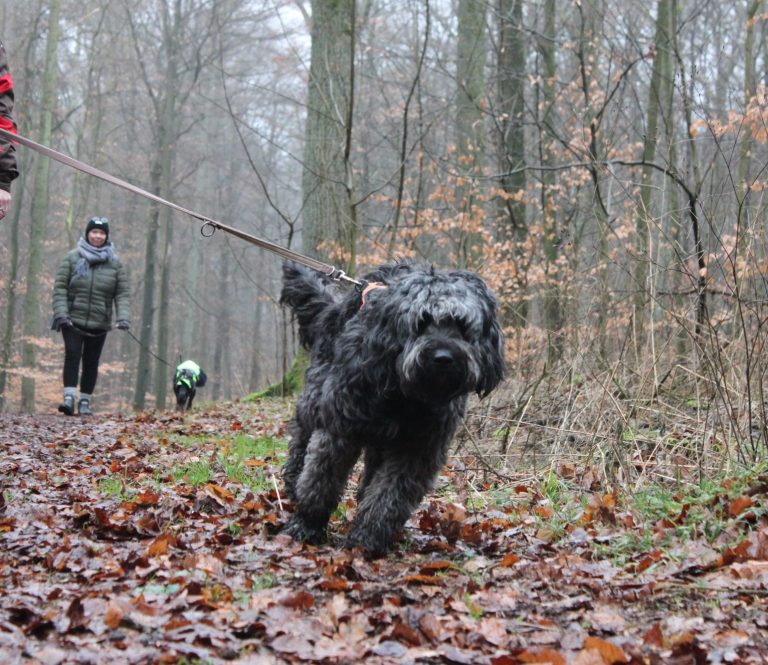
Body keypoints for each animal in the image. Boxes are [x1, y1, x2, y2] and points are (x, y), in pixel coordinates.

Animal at [280, 260, 508, 556]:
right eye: (421, 322)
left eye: (461, 324)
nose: (443, 357)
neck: (404, 394)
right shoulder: (340, 429)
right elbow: (321, 480)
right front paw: (307, 524)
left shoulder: (418, 449)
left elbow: (389, 497)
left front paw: (367, 538)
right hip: (316, 397)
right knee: (301, 438)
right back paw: (292, 482)